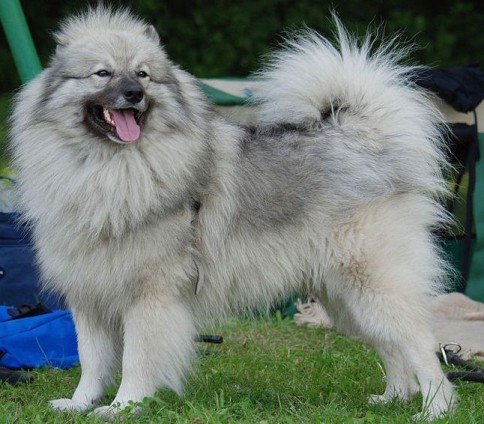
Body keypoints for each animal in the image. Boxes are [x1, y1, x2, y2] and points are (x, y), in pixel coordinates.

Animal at [10, 4, 458, 420]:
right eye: (102, 74)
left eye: (143, 75)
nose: (134, 94)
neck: (105, 168)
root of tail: (361, 139)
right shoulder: (90, 298)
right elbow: (92, 362)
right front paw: (78, 404)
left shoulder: (148, 299)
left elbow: (136, 361)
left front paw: (123, 407)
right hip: (344, 300)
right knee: (392, 348)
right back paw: (393, 398)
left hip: (373, 287)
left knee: (421, 347)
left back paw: (435, 409)